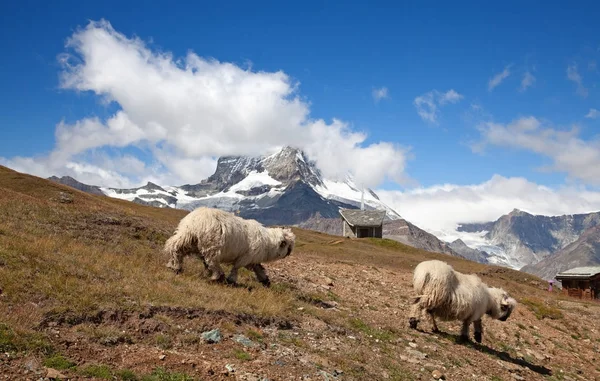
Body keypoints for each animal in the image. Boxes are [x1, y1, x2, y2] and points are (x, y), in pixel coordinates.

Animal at [164, 208, 296, 284]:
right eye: (288, 245)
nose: (289, 253)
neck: (268, 243)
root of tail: (195, 222)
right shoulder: (245, 257)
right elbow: (236, 268)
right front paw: (231, 279)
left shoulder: (252, 260)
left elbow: (259, 268)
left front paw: (265, 280)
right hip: (212, 245)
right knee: (212, 261)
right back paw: (217, 276)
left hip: (187, 238)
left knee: (175, 248)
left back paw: (174, 266)